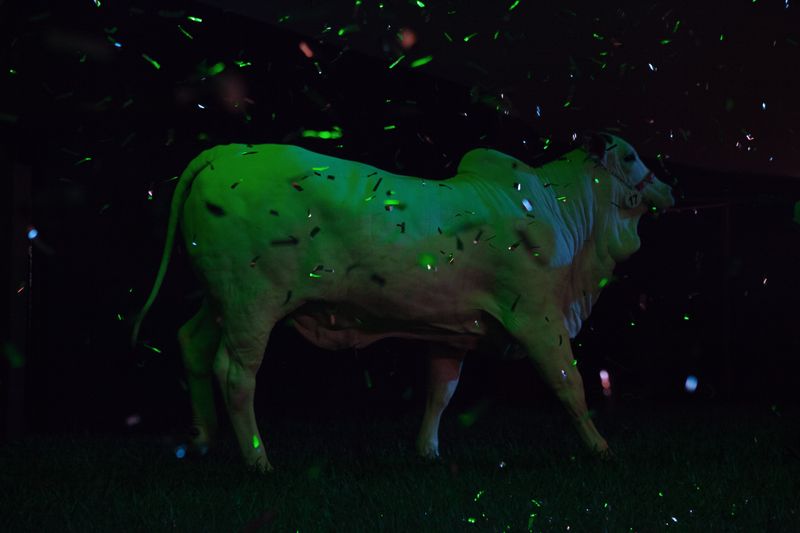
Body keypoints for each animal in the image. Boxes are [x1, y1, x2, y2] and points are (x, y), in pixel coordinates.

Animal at [132, 132, 674, 472]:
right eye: (630, 157)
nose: (669, 189)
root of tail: (227, 152)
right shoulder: (538, 316)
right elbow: (571, 386)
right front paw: (602, 449)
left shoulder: (453, 330)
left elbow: (441, 391)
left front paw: (427, 453)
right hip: (252, 303)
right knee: (236, 373)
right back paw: (259, 460)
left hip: (220, 298)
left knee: (192, 342)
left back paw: (203, 440)